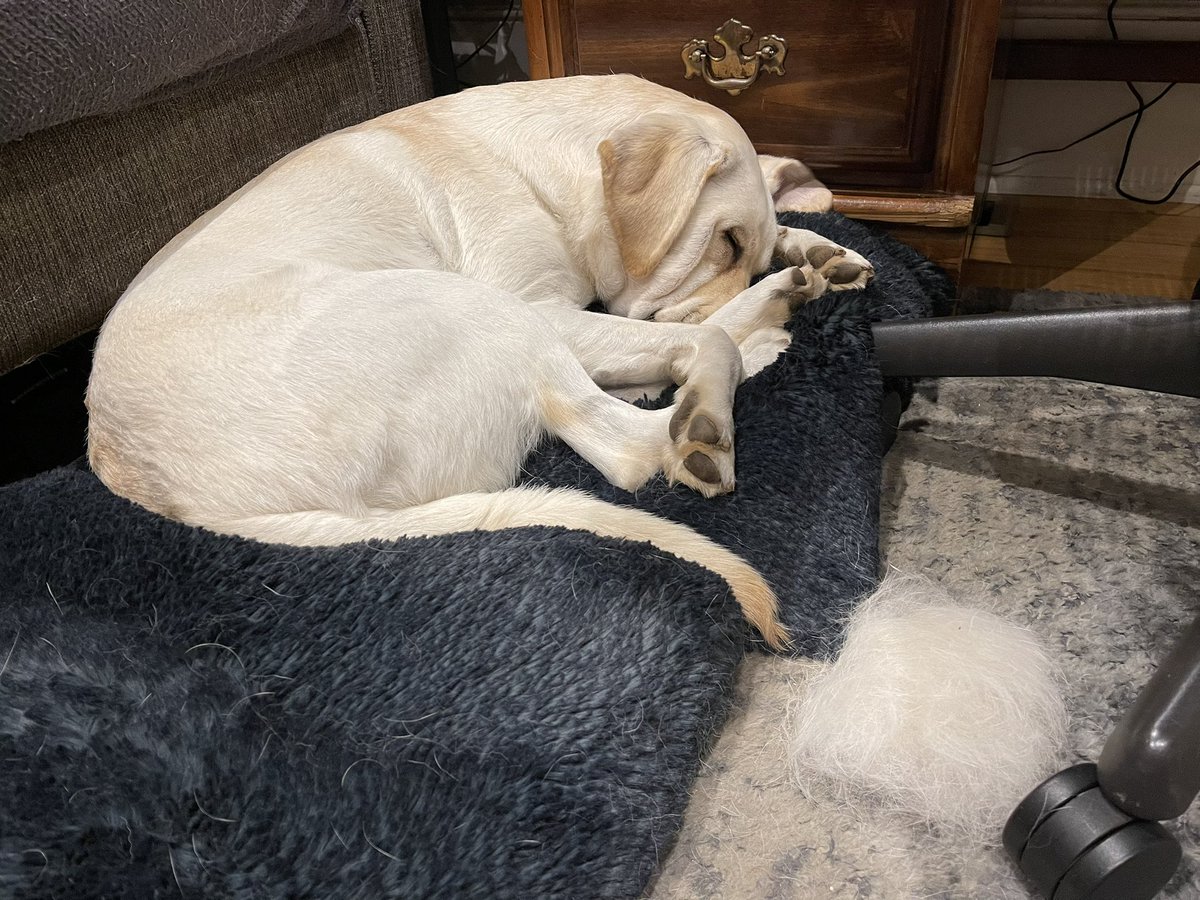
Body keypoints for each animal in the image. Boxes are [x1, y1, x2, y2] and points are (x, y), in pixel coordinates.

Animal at [84, 72, 873, 648]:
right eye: (726, 241)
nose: (770, 269)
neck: (547, 176)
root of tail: (189, 507)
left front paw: (814, 247)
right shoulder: (545, 306)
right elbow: (703, 341)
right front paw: (753, 326)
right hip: (477, 309)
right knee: (628, 448)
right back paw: (742, 361)